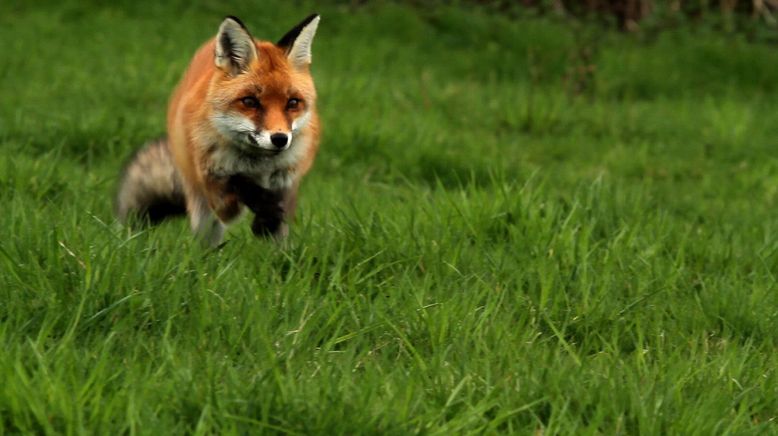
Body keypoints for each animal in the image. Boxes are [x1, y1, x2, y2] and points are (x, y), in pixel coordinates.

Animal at [115, 14, 322, 245]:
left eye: (293, 103)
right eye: (250, 102)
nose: (279, 138)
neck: (257, 165)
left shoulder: (288, 181)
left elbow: (277, 214)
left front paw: (266, 220)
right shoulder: (220, 198)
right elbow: (240, 184)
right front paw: (262, 209)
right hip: (202, 209)